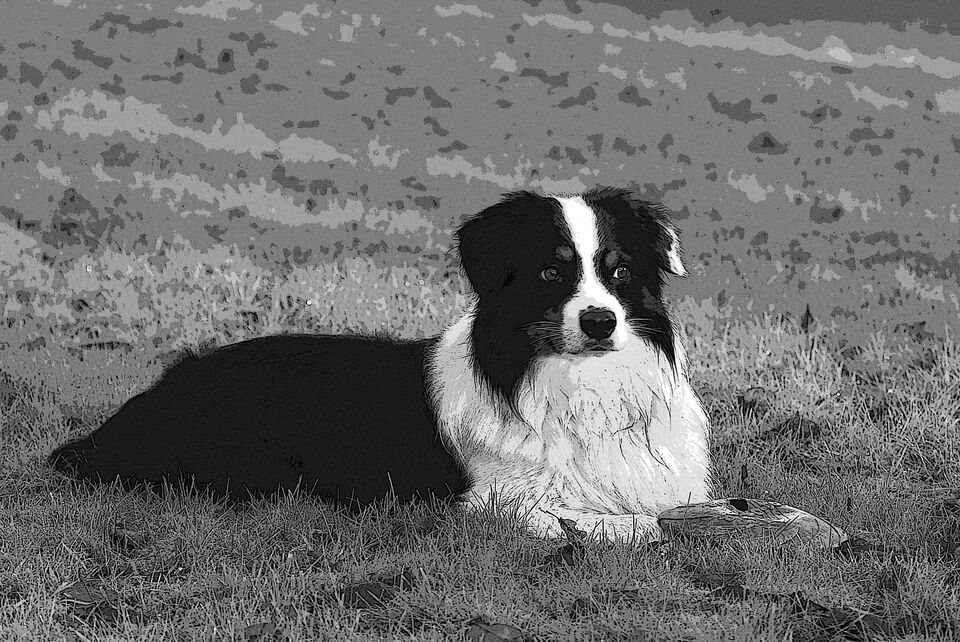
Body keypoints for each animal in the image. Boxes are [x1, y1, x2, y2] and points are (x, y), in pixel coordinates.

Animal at [49, 186, 711, 543]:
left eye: (619, 271)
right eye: (551, 272)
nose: (600, 322)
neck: (578, 386)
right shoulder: (491, 498)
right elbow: (627, 524)